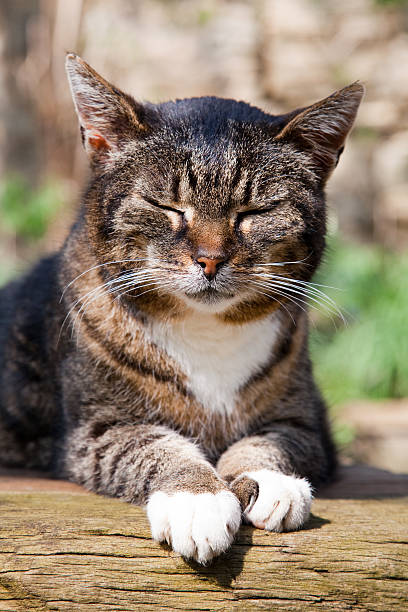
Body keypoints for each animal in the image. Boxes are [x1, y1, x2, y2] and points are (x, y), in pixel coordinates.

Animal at [0, 53, 364, 564]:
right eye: (167, 206)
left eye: (254, 212)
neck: (205, 329)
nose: (210, 259)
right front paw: (198, 501)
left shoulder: (307, 427)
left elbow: (270, 442)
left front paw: (269, 482)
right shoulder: (97, 429)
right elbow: (156, 446)